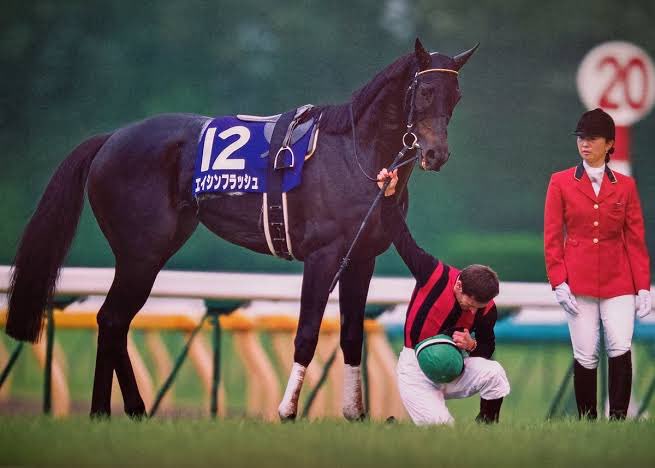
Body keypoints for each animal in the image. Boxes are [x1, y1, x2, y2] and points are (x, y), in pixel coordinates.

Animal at [3, 39, 476, 420]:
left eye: (456, 96)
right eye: (425, 91)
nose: (436, 154)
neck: (355, 153)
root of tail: (110, 139)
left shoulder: (360, 259)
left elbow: (351, 335)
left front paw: (355, 415)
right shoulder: (323, 256)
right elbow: (307, 334)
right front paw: (286, 411)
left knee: (114, 321)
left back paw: (127, 411)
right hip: (141, 253)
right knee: (112, 318)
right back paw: (108, 412)